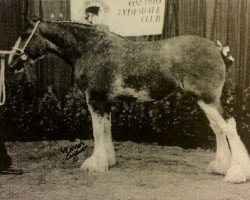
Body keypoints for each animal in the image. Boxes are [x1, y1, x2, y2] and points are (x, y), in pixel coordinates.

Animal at [7, 19, 250, 184]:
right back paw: (220, 166)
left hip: (208, 98)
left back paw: (237, 173)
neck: (90, 49)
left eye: (25, 33)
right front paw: (108, 161)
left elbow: (97, 132)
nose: (11, 62)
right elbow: (106, 129)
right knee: (218, 127)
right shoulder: (105, 103)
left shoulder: (95, 100)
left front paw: (95, 164)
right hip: (204, 100)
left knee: (228, 125)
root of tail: (217, 49)